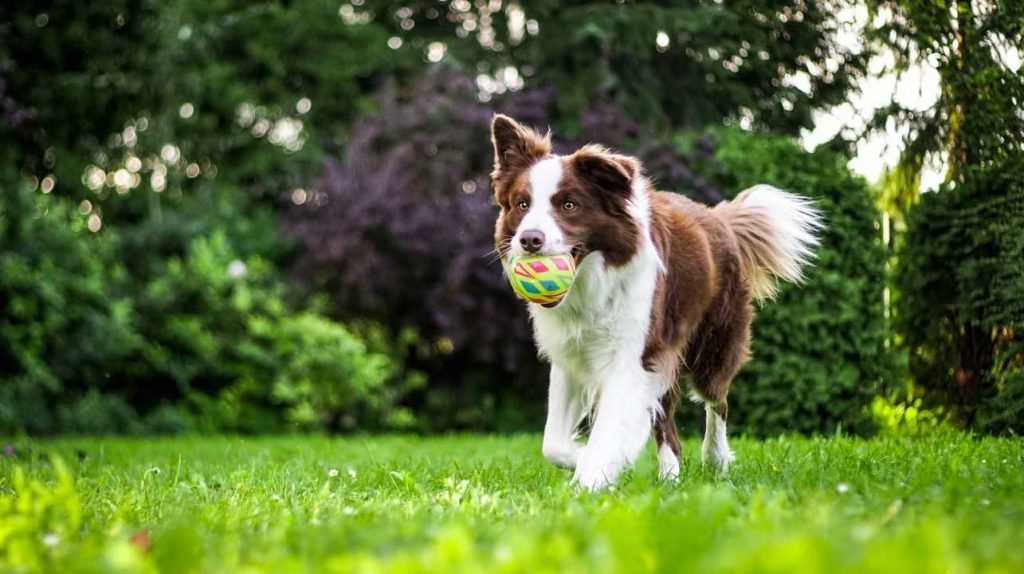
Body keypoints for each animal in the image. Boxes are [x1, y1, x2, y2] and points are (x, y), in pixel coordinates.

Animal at [489, 115, 823, 487]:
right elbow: (553, 444)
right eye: (522, 204)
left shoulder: (633, 355)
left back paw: (716, 459)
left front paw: (591, 478)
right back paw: (670, 477)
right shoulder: (571, 355)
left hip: (713, 344)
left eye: (569, 205)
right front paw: (590, 460)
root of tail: (718, 217)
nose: (529, 239)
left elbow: (609, 428)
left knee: (717, 401)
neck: (592, 283)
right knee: (667, 423)